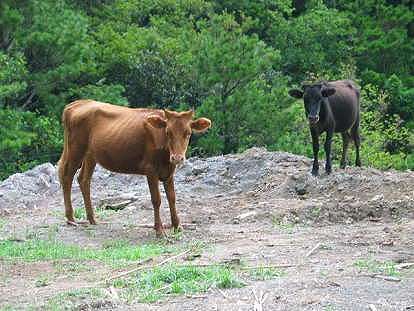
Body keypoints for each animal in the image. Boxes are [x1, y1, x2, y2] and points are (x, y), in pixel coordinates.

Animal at [57, 101, 212, 238]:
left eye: (188, 133)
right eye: (168, 132)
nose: (177, 158)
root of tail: (76, 103)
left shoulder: (168, 170)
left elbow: (172, 198)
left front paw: (177, 226)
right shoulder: (150, 169)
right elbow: (156, 199)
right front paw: (159, 231)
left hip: (90, 154)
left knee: (84, 179)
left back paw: (92, 219)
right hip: (75, 149)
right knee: (67, 175)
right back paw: (71, 219)